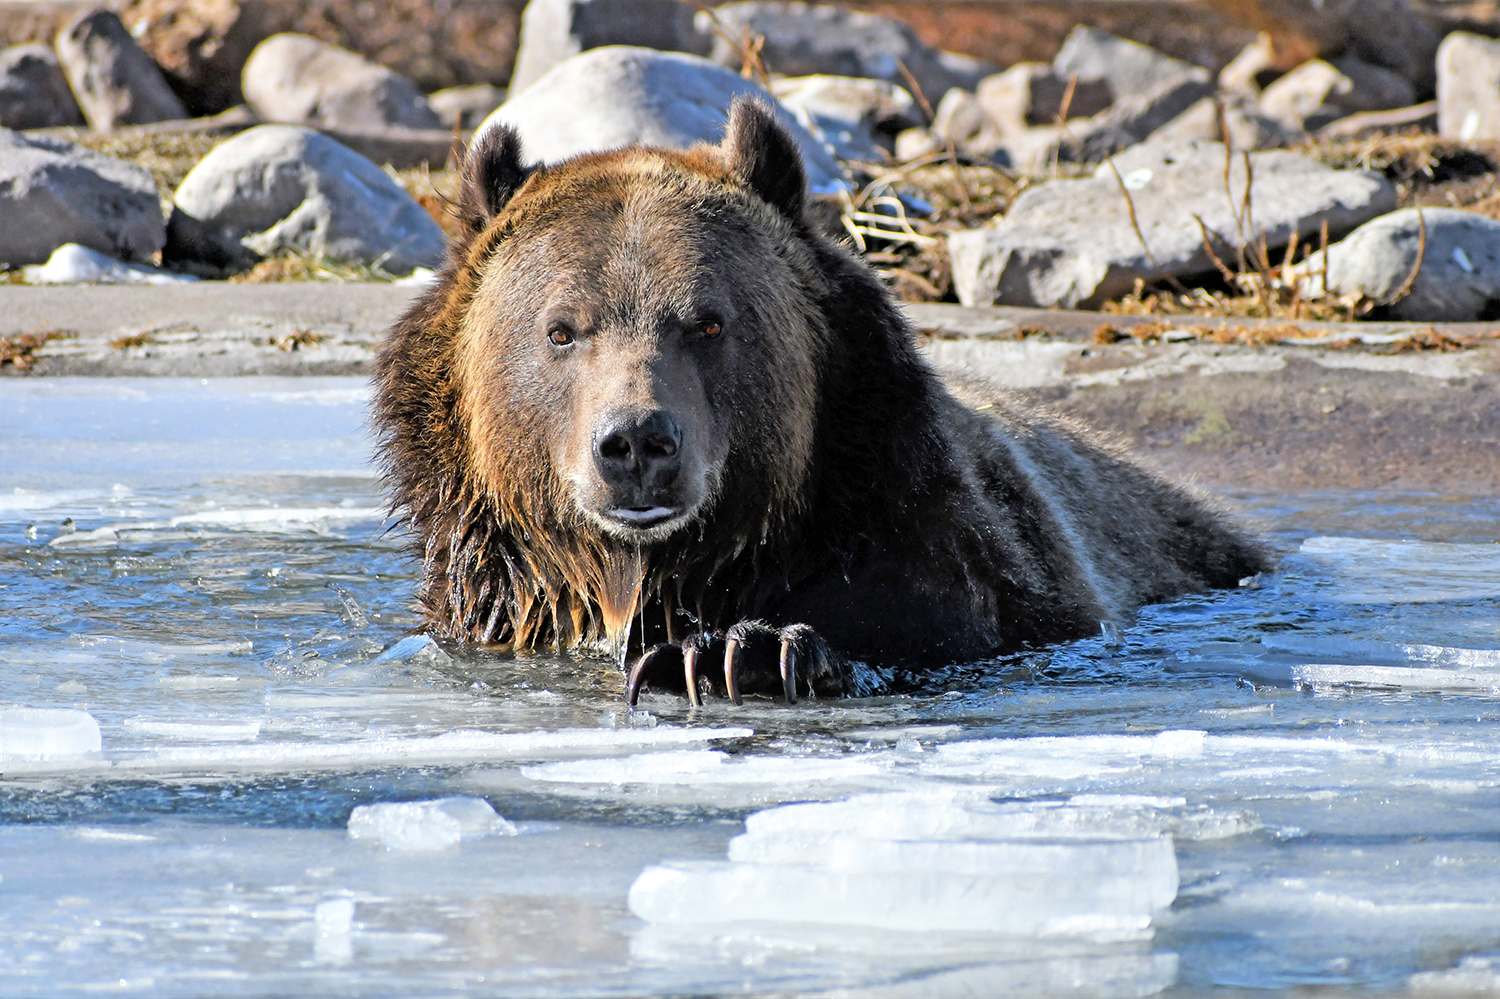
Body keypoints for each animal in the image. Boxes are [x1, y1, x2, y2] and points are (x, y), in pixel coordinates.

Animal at [372, 93, 1266, 699]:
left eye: (708, 321)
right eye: (562, 329)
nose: (636, 444)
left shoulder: (927, 530)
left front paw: (737, 652)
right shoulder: (496, 594)